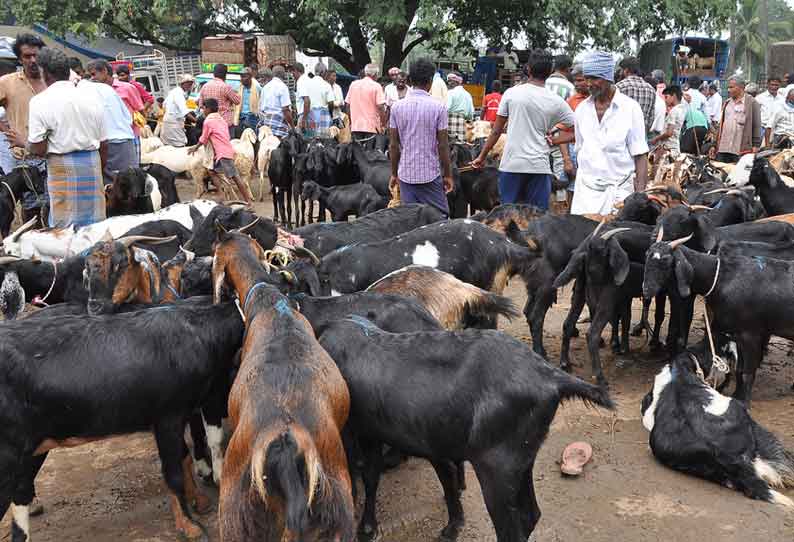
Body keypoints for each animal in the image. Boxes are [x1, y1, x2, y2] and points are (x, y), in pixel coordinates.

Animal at [0, 300, 243, 540]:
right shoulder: (169, 415)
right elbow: (173, 472)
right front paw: (190, 527)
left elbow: (184, 458)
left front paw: (199, 501)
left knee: (21, 494)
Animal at [318, 318, 612, 542]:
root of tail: (549, 376)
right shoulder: (427, 443)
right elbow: (443, 481)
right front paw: (452, 525)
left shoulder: (357, 432)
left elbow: (367, 477)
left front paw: (367, 527)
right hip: (522, 460)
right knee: (531, 515)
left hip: (495, 467)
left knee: (510, 531)